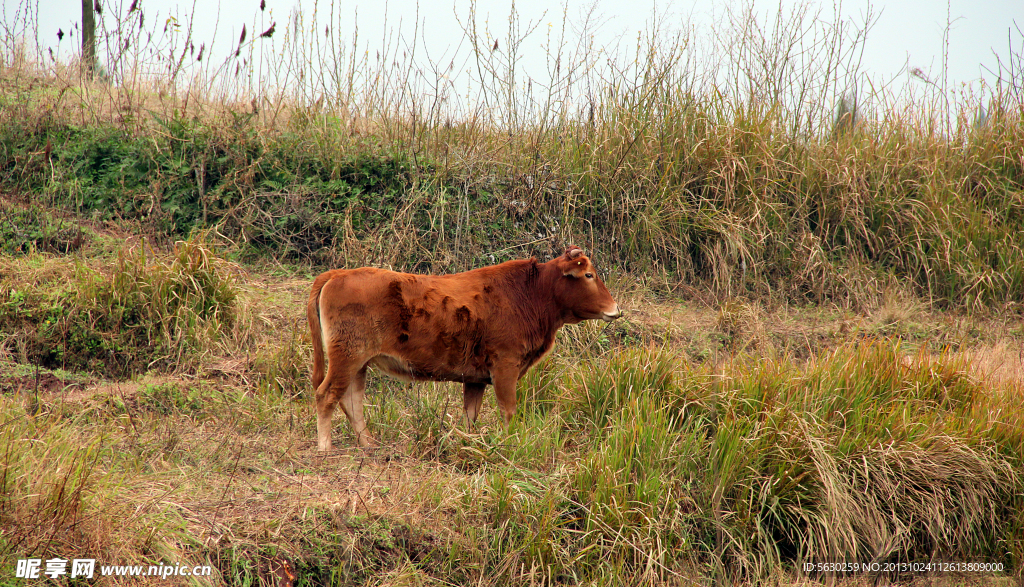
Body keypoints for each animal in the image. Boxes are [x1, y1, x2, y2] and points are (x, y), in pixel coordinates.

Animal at [307, 244, 618, 446]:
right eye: (589, 275)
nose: (616, 309)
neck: (531, 293)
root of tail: (337, 274)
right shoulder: (505, 367)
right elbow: (509, 411)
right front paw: (510, 444)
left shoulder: (475, 379)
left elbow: (470, 414)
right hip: (347, 358)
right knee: (326, 396)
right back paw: (325, 447)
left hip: (358, 363)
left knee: (351, 400)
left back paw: (368, 444)